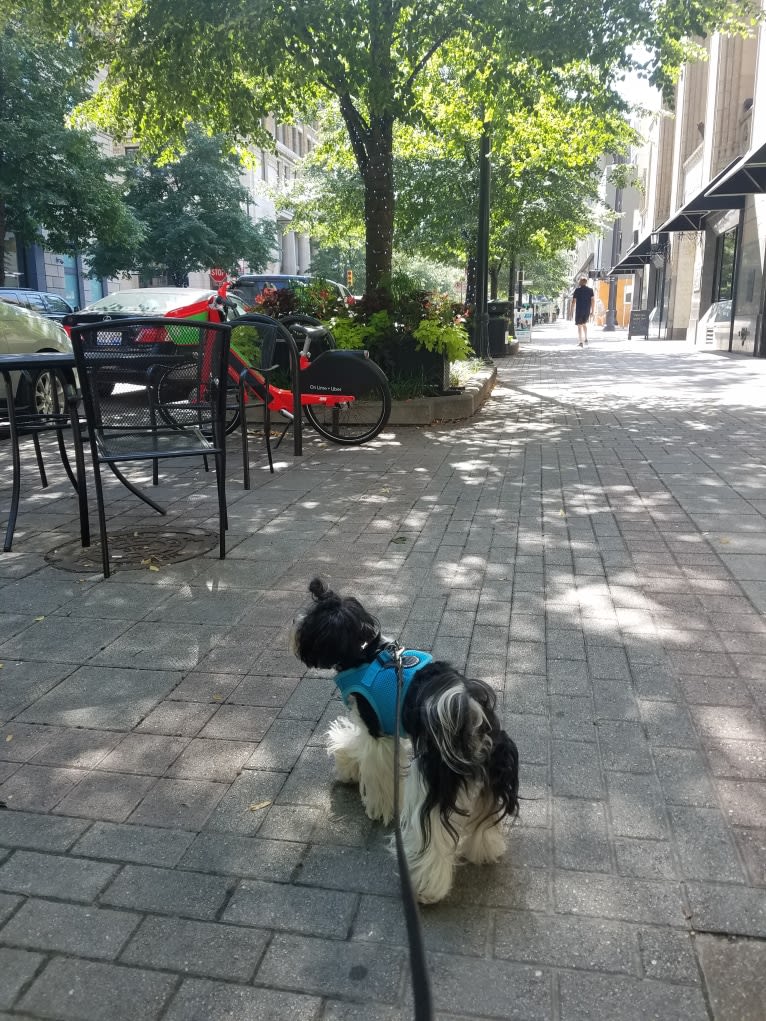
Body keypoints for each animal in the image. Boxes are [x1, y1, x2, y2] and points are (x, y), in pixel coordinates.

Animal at [294, 579, 522, 906]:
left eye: (309, 620)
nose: (295, 625)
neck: (368, 653)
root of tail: (473, 719)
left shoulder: (377, 730)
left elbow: (370, 759)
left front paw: (374, 802)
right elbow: (355, 744)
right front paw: (348, 766)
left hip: (431, 784)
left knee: (431, 838)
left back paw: (425, 887)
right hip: (490, 781)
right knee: (484, 822)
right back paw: (484, 851)